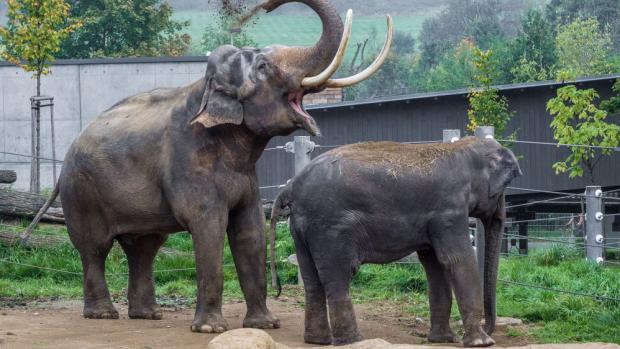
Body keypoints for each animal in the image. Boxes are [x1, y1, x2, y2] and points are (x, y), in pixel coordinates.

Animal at [23, 0, 392, 334]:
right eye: (262, 66)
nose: (261, 8)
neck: (204, 90)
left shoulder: (247, 178)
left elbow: (249, 230)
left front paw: (265, 325)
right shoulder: (189, 162)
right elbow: (210, 229)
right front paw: (211, 329)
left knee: (144, 247)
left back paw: (148, 315)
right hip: (81, 190)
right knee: (95, 247)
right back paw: (103, 315)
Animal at [268, 137, 520, 346]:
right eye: (502, 190)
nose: (490, 329)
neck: (461, 149)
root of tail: (291, 186)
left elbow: (434, 264)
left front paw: (444, 340)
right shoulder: (449, 209)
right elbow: (458, 260)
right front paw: (481, 343)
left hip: (301, 228)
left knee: (312, 280)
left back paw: (318, 341)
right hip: (329, 228)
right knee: (339, 275)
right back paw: (353, 341)